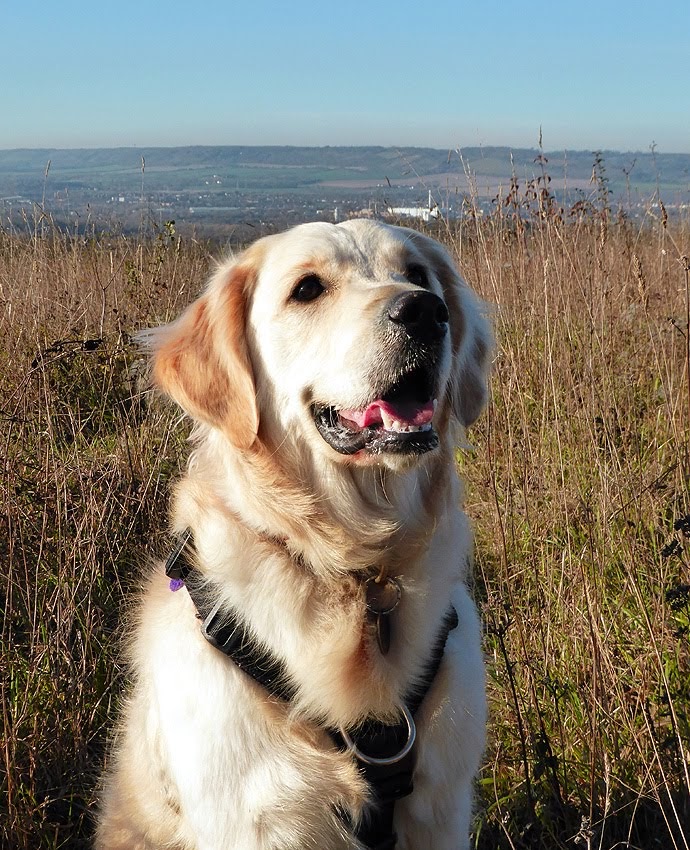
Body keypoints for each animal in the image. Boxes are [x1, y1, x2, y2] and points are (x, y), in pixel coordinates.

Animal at [95, 220, 490, 848]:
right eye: (308, 289)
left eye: (418, 274)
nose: (426, 313)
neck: (356, 571)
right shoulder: (256, 816)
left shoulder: (440, 806)